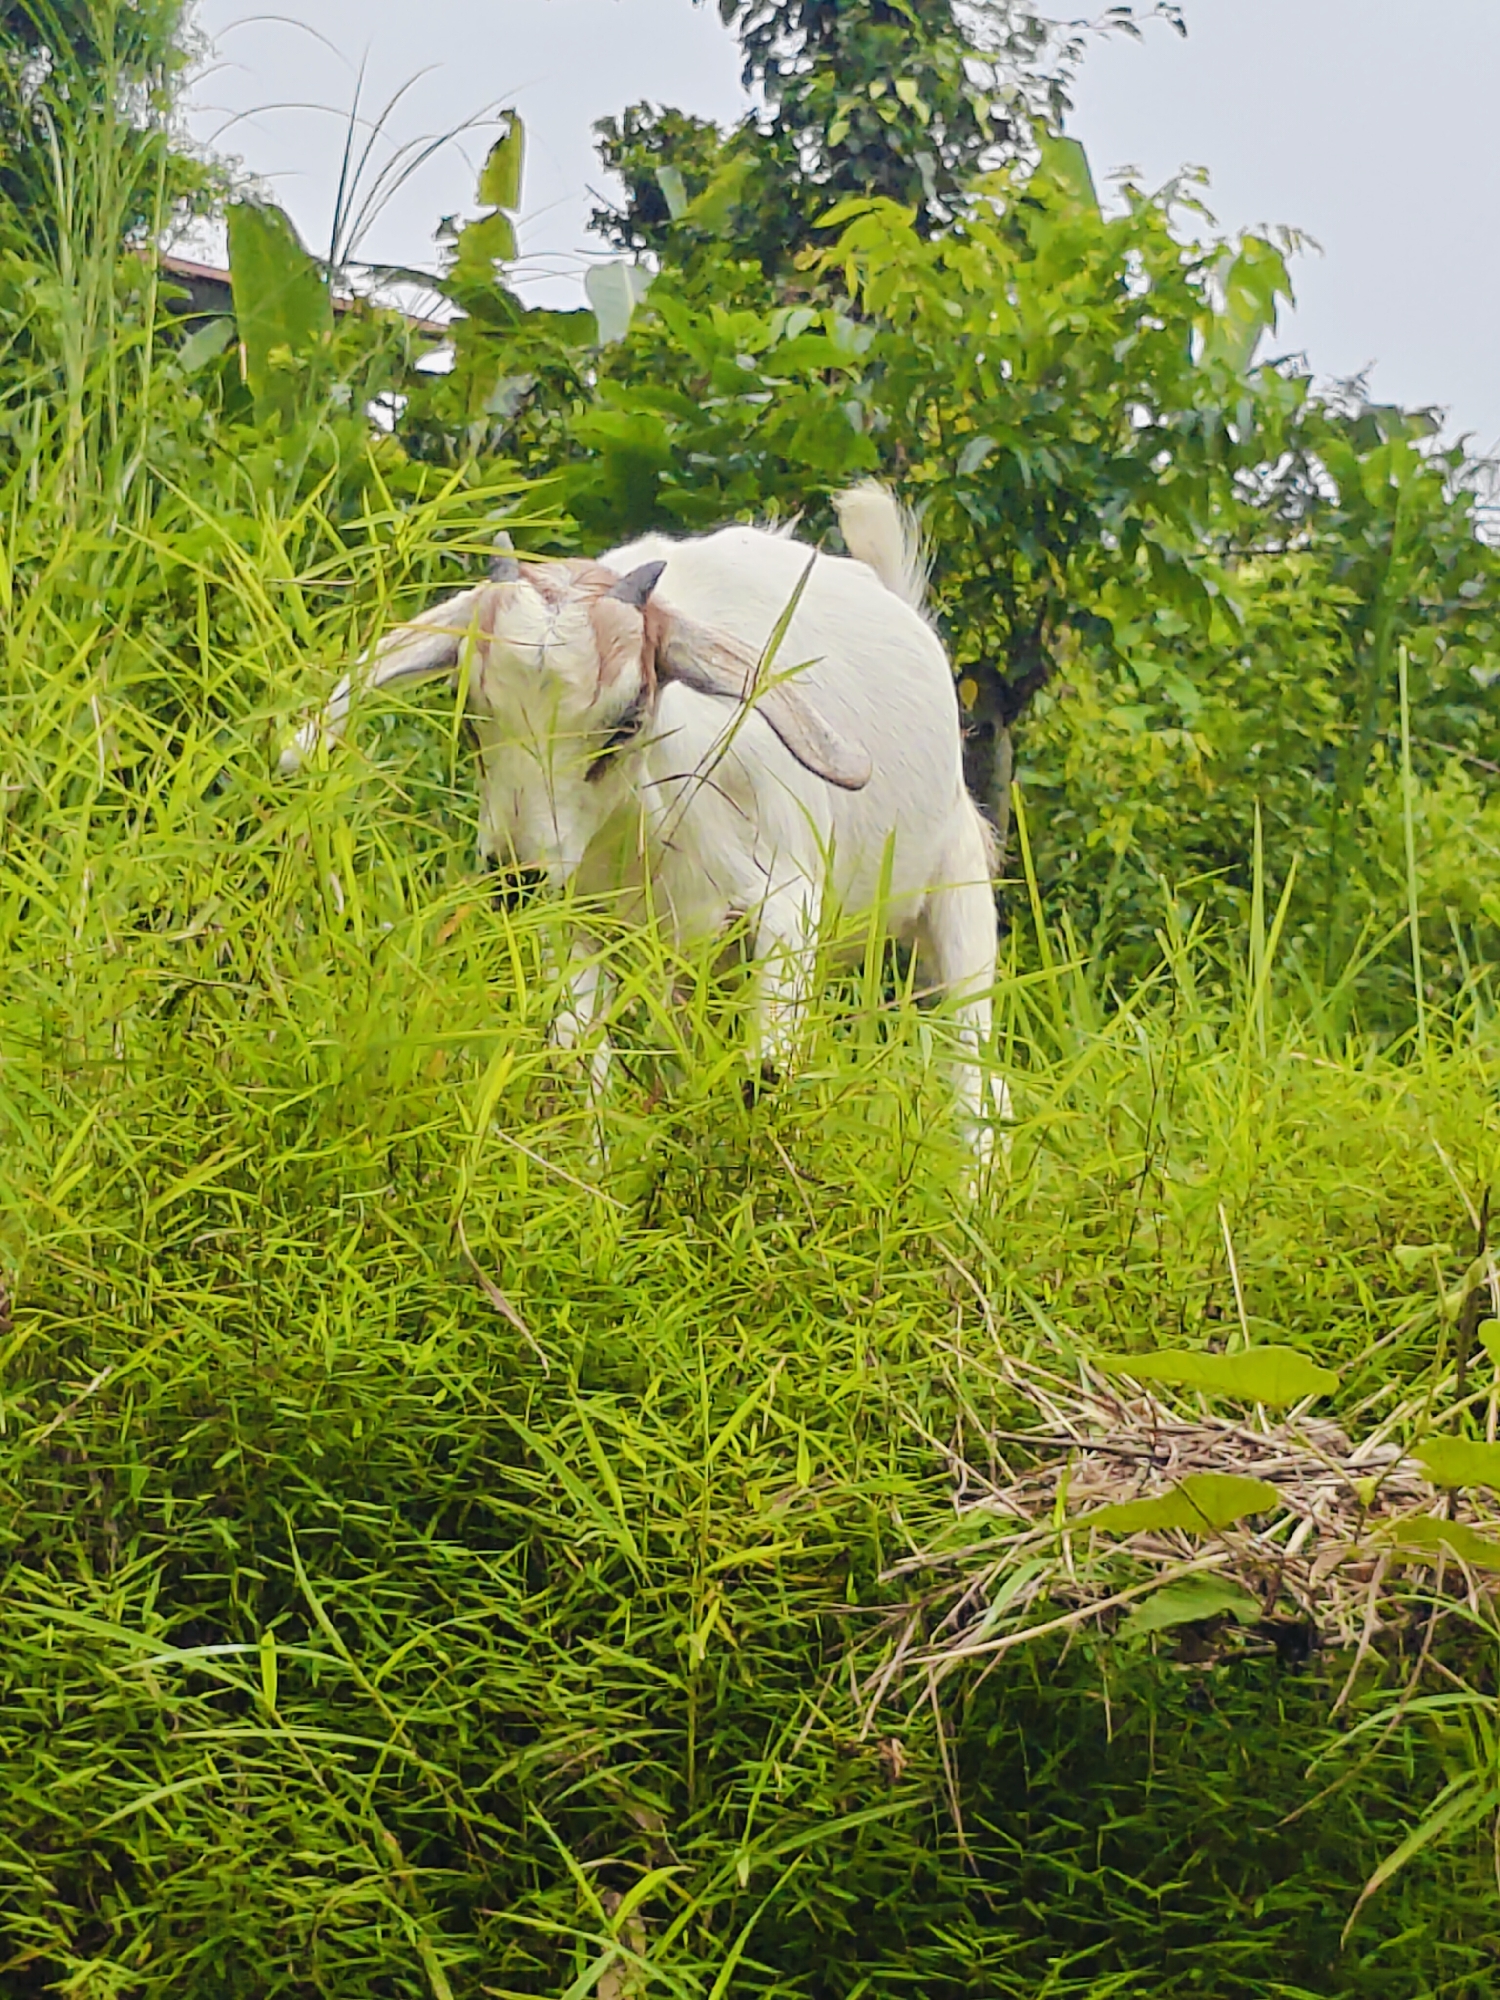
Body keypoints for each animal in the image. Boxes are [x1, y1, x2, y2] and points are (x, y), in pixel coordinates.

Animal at [280, 485, 1008, 1170]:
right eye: (472, 712)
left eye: (627, 718)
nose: (516, 875)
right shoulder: (580, 921)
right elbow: (578, 1060)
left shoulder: (787, 904)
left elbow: (768, 1070)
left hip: (958, 887)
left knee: (977, 1079)